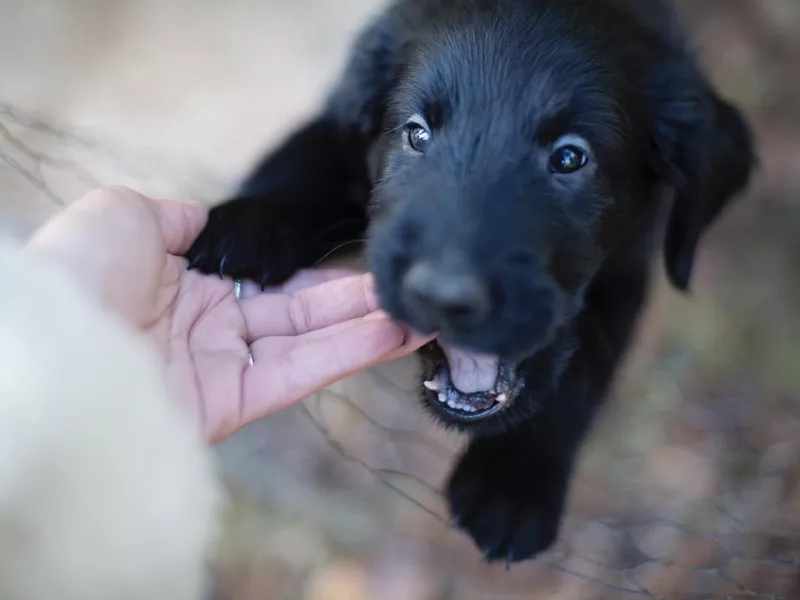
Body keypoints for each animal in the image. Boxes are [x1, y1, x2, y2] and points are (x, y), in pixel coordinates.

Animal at [188, 0, 756, 564]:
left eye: (570, 156)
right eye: (417, 133)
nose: (442, 296)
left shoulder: (628, 266)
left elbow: (581, 370)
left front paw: (512, 483)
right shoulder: (339, 133)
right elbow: (308, 157)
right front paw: (246, 224)